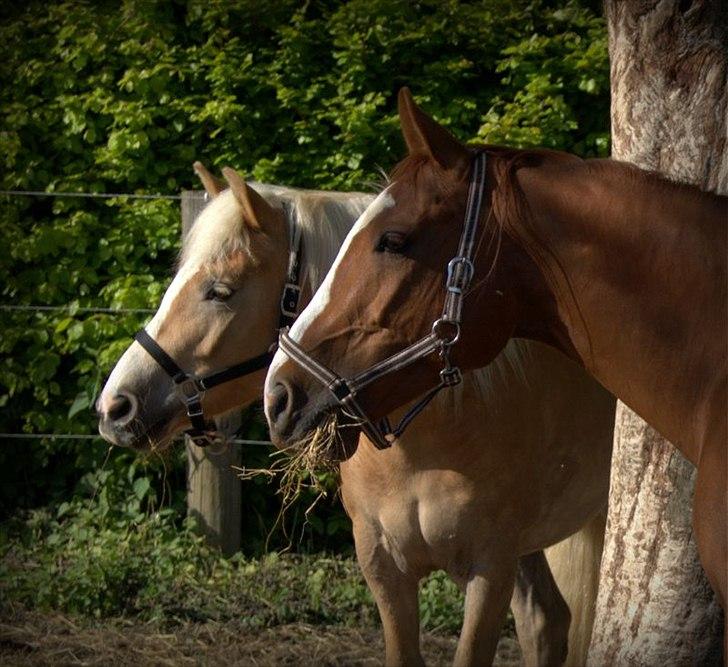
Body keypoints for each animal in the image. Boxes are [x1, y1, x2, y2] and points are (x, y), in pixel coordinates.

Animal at [96, 163, 616, 667]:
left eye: (220, 291)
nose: (115, 407)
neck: (427, 442)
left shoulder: (489, 569)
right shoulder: (384, 568)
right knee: (545, 620)